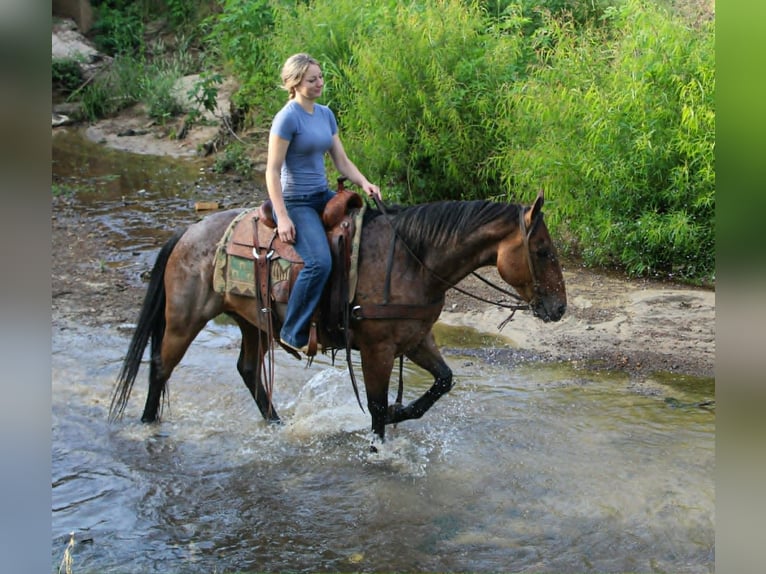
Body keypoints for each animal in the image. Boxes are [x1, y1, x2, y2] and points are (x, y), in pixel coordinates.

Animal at [108, 190, 567, 443]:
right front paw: (380, 448)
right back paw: (147, 425)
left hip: (254, 322)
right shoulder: (377, 349)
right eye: (543, 250)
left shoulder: (417, 339)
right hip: (184, 319)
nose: (560, 308)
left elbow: (443, 382)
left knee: (248, 370)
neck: (412, 260)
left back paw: (278, 426)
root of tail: (186, 233)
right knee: (160, 366)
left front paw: (401, 415)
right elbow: (377, 406)